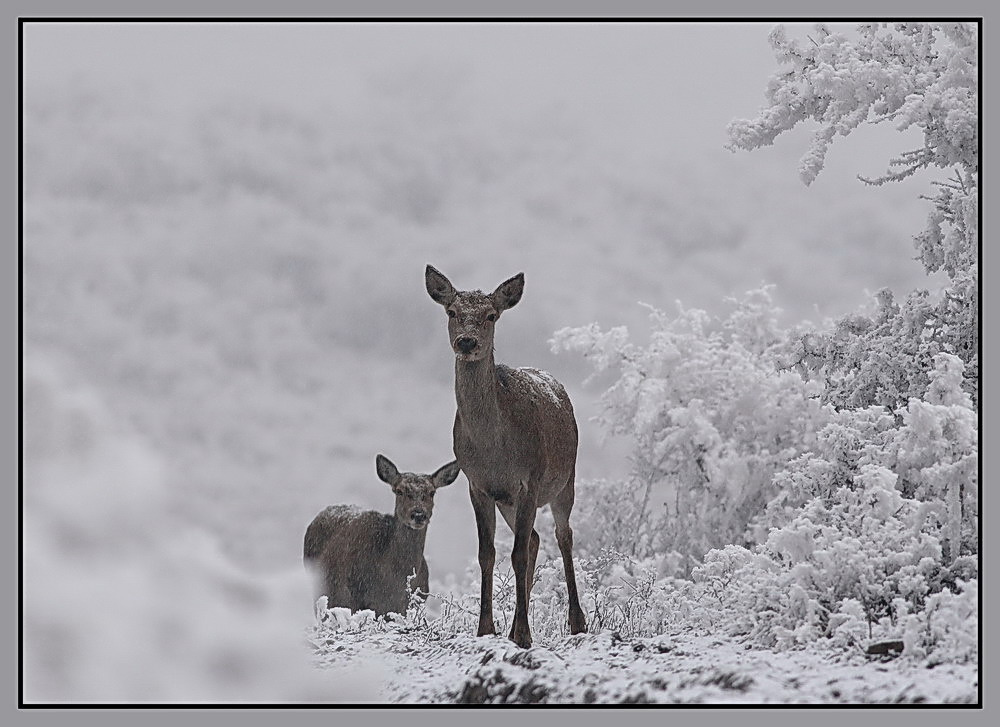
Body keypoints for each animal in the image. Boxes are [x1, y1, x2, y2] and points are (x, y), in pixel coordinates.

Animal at [424, 266, 584, 648]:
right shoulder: (478, 485)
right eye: (452, 312)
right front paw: (487, 628)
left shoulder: (529, 480)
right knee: (536, 539)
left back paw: (577, 622)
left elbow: (517, 554)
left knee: (563, 535)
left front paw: (524, 634)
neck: (493, 449)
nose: (467, 342)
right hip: (508, 501)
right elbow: (488, 554)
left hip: (565, 479)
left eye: (491, 315)